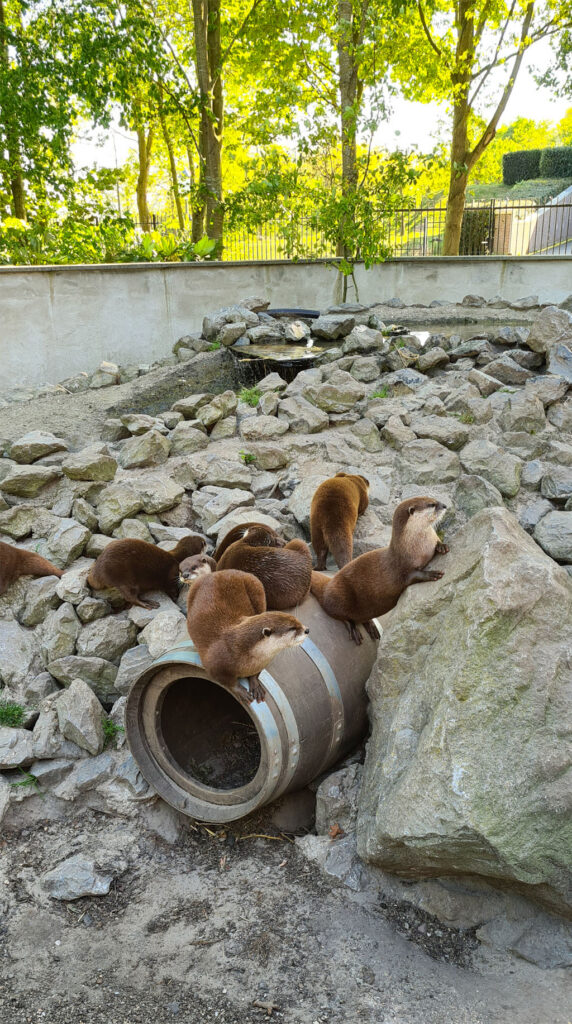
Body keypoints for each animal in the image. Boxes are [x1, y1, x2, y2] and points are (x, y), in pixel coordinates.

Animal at [186, 569, 309, 704]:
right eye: (292, 628)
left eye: (297, 621)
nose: (307, 630)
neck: (238, 650)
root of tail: (218, 572)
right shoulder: (214, 664)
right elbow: (225, 680)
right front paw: (240, 691)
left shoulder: (262, 663)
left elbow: (256, 673)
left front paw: (255, 684)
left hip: (256, 585)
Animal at [310, 496, 448, 644]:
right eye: (432, 504)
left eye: (434, 499)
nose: (445, 506)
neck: (417, 545)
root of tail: (327, 586)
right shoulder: (402, 566)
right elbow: (412, 576)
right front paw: (432, 574)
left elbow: (438, 543)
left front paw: (442, 546)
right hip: (339, 597)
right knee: (341, 616)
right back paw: (354, 630)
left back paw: (372, 627)